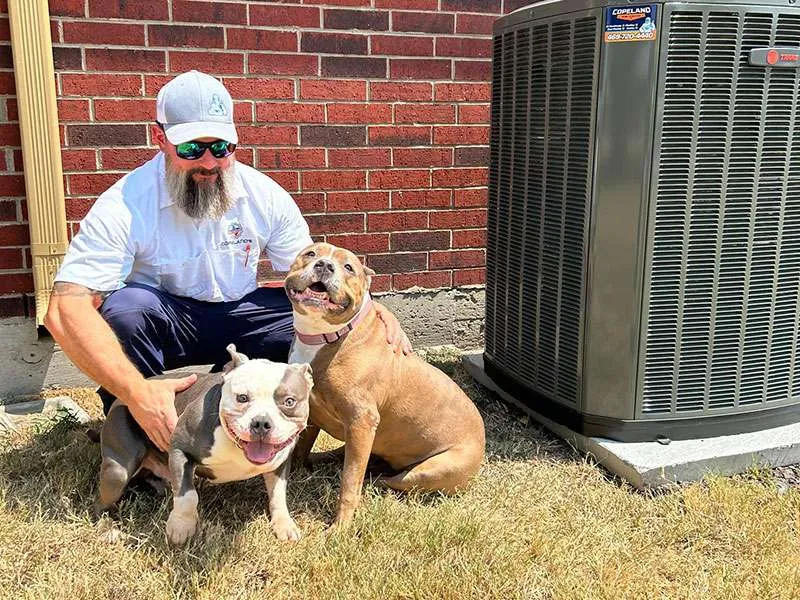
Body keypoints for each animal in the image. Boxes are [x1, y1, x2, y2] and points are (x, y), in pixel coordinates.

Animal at [94, 344, 313, 545]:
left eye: (289, 401)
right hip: (118, 471)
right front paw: (181, 527)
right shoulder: (180, 449)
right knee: (100, 503)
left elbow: (278, 494)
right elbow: (188, 496)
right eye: (242, 398)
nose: (261, 423)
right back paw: (108, 529)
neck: (235, 445)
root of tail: (120, 398)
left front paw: (284, 524)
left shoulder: (280, 464)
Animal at [285, 242, 485, 526]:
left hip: (431, 469)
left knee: (385, 479)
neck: (322, 336)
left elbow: (350, 482)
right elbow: (301, 448)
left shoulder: (361, 421)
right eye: (311, 253)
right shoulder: (313, 412)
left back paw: (374, 482)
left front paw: (340, 527)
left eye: (349, 267)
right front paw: (295, 473)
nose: (325, 265)